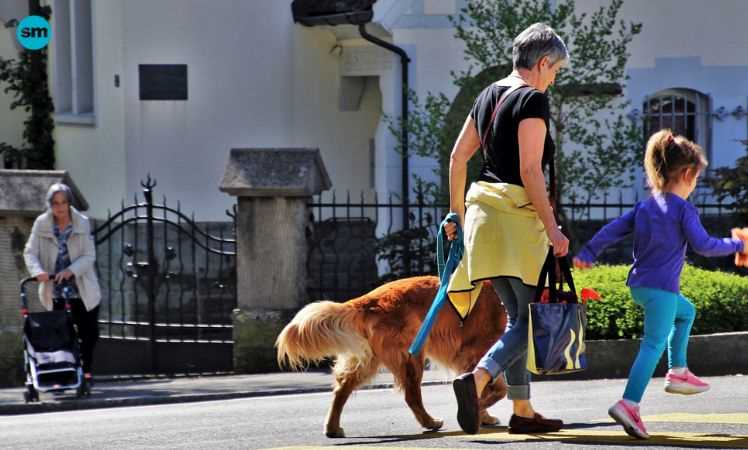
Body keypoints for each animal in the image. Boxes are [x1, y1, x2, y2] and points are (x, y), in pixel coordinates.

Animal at [274, 276, 508, 438]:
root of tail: (368, 300)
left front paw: (481, 414)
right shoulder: (476, 352)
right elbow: (497, 389)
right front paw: (478, 410)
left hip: (369, 360)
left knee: (342, 388)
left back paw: (332, 427)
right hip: (411, 356)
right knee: (411, 396)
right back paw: (430, 422)